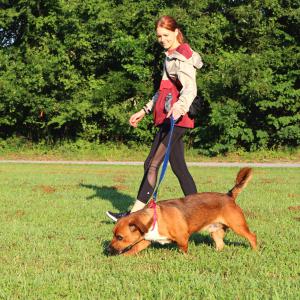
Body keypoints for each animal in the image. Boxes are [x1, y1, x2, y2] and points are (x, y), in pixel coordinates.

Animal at [109, 168, 256, 254]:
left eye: (120, 237)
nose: (107, 249)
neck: (155, 218)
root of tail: (229, 195)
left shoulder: (183, 239)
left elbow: (184, 251)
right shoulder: (145, 240)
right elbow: (132, 250)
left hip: (238, 226)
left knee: (252, 236)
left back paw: (255, 251)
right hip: (215, 230)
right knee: (221, 244)